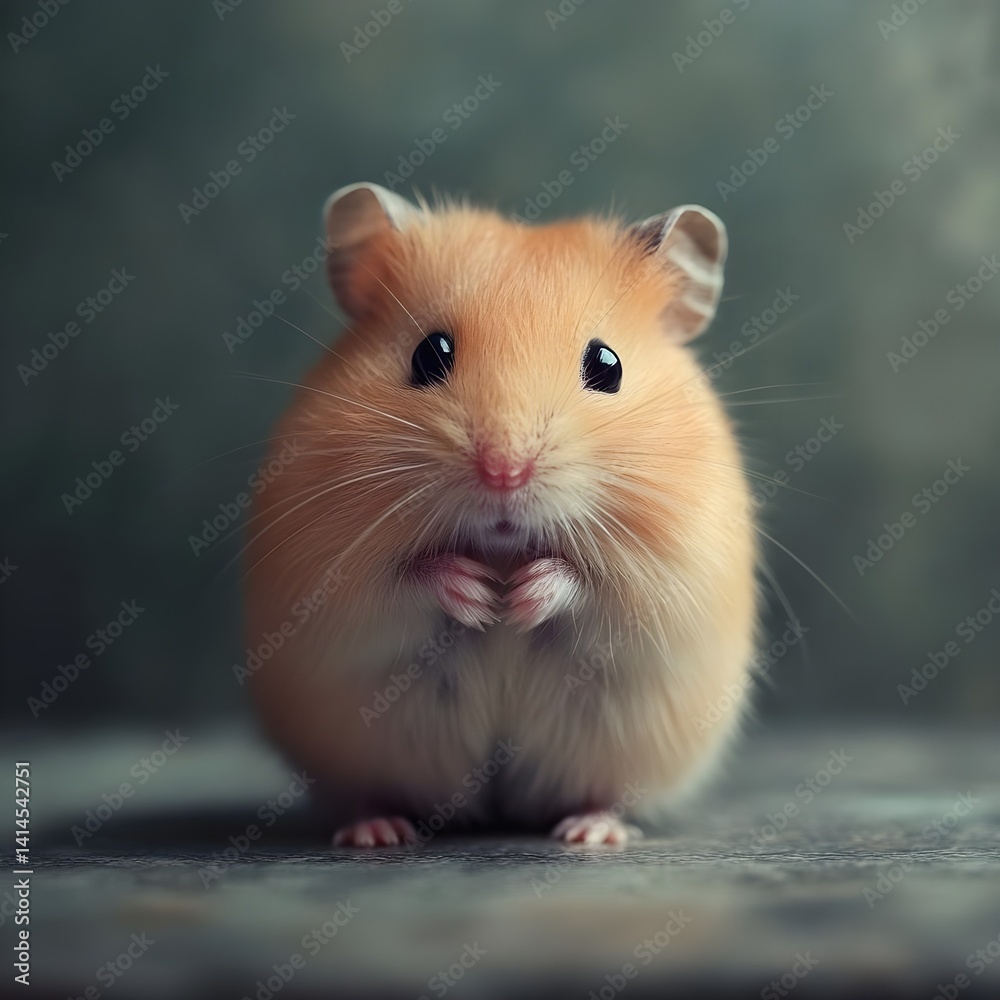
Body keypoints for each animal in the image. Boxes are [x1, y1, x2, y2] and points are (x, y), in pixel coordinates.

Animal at [244, 182, 757, 846]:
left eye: (608, 365)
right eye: (428, 354)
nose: (504, 473)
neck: (502, 547)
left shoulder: (672, 573)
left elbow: (593, 585)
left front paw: (519, 597)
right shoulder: (328, 578)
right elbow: (403, 582)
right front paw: (481, 595)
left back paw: (591, 833)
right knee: (368, 792)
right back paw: (377, 832)